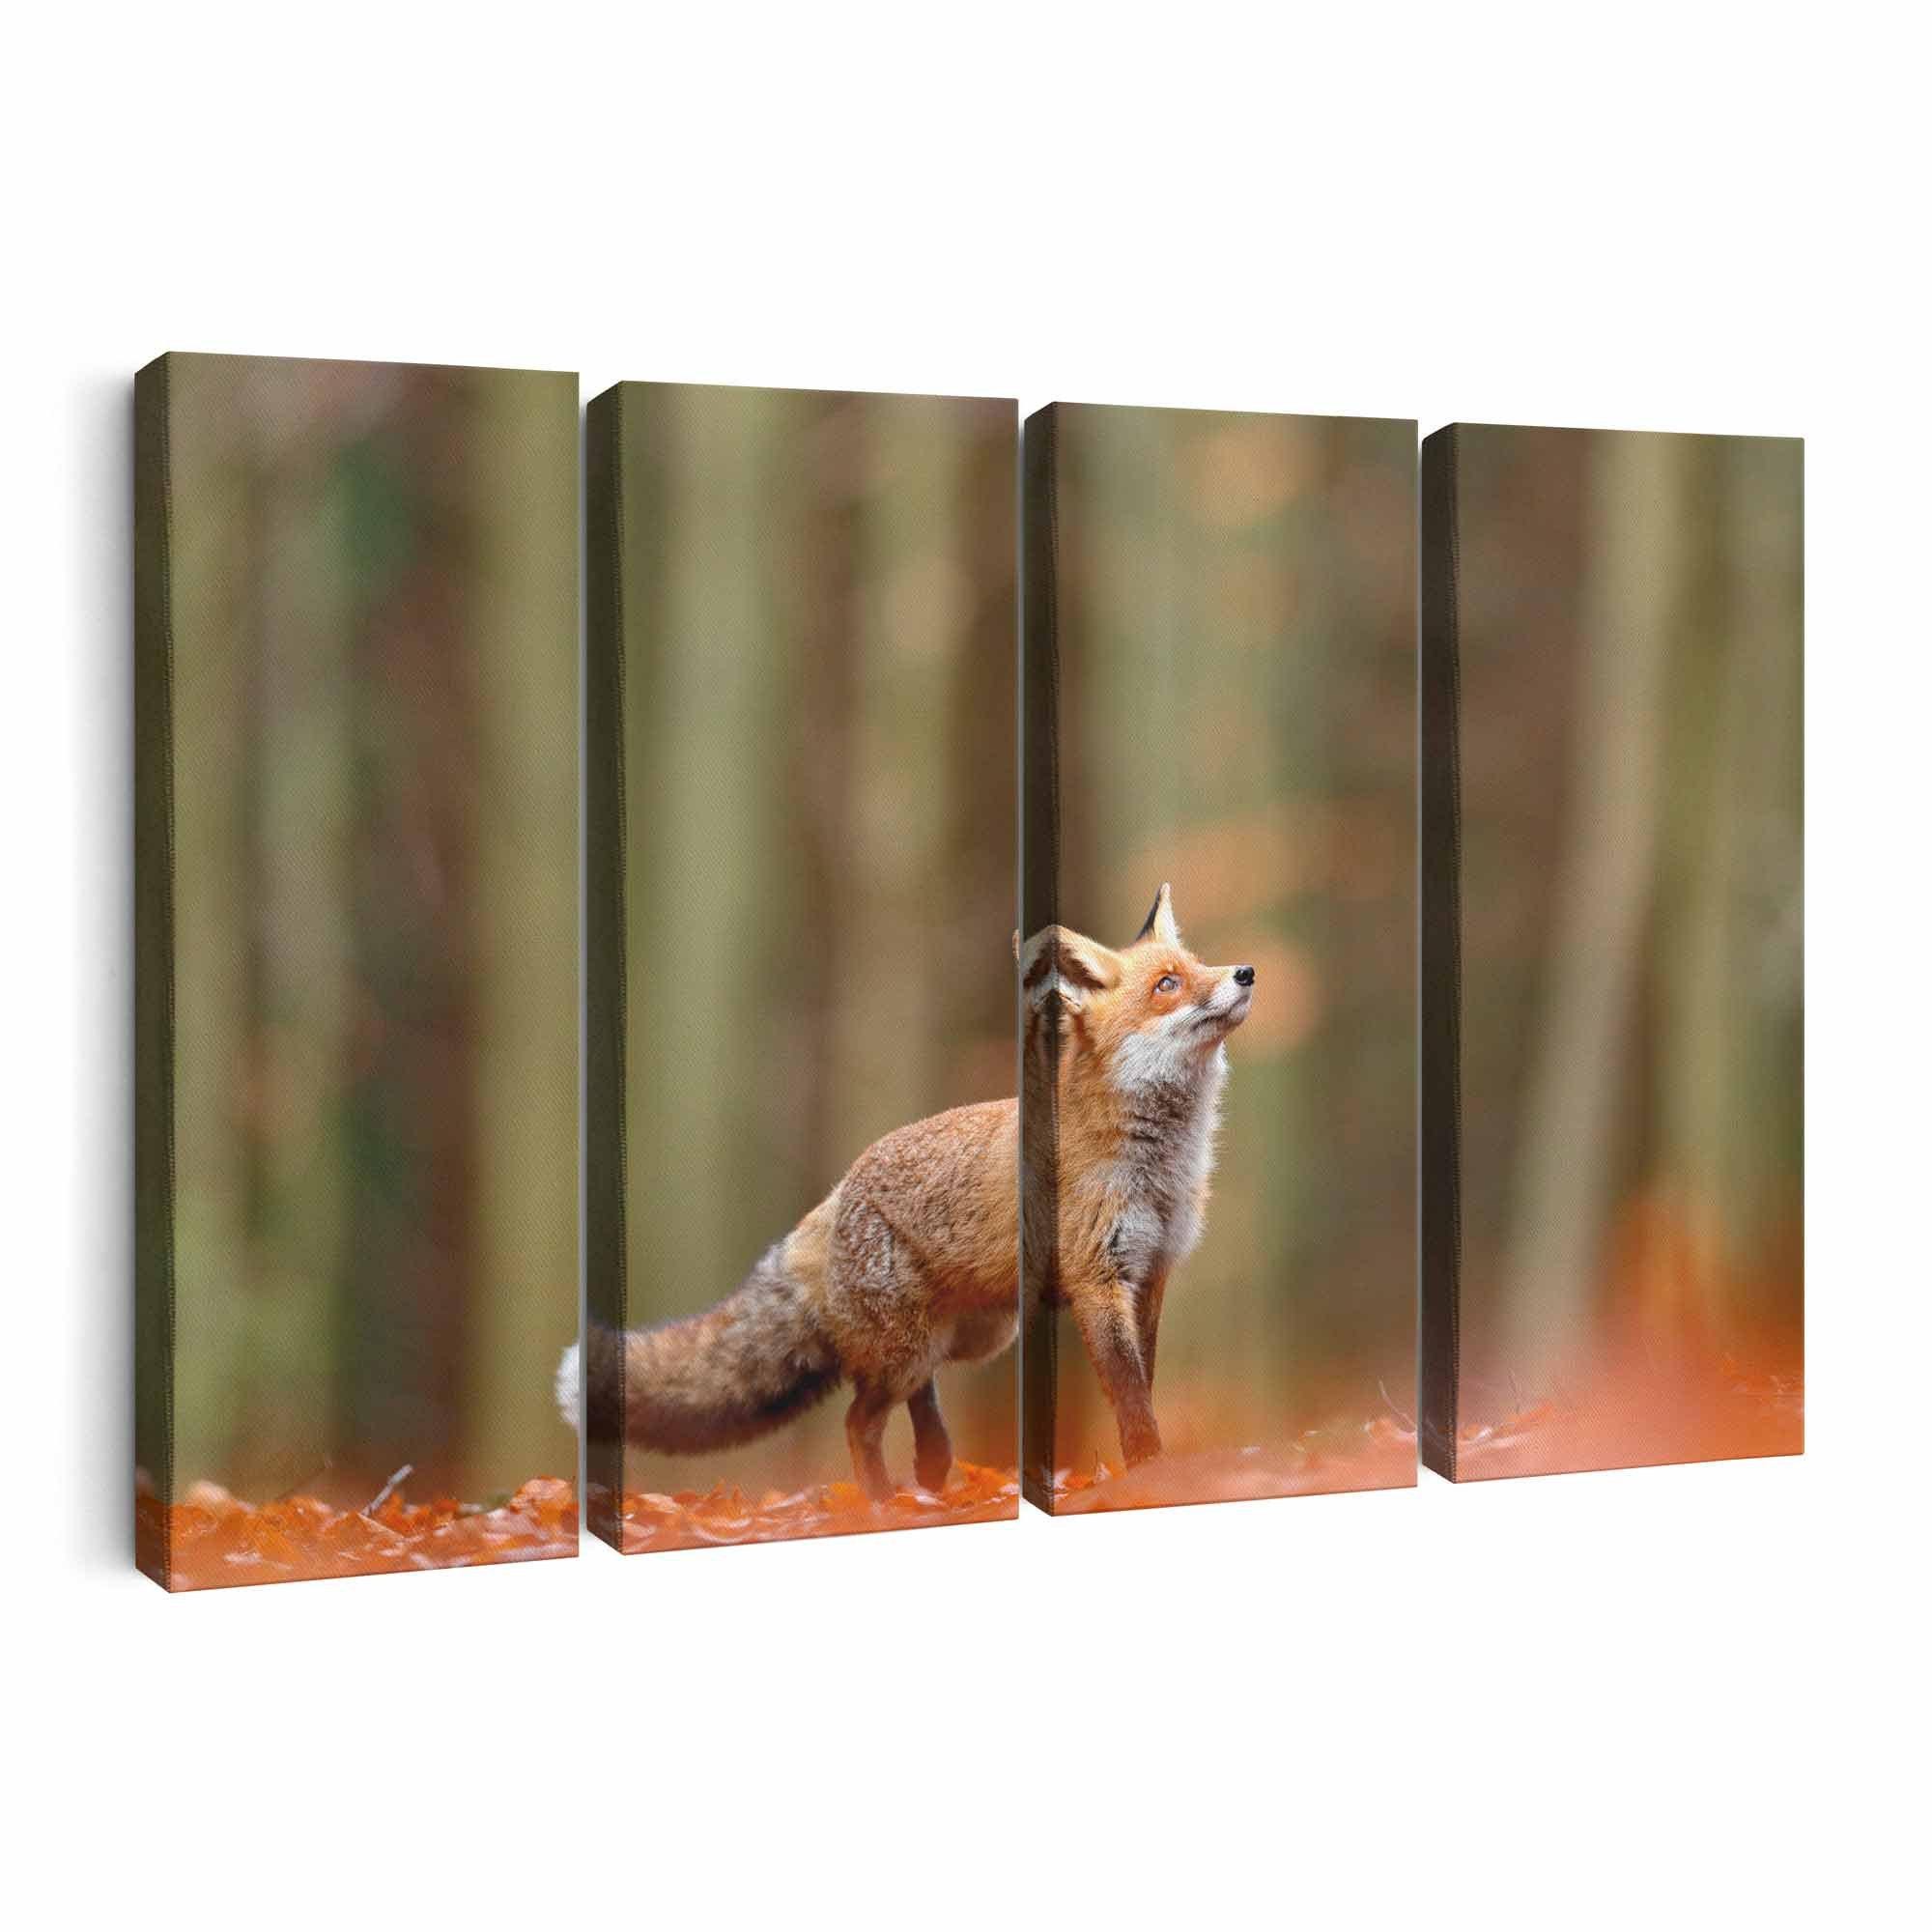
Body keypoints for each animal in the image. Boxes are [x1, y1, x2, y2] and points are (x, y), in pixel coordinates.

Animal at [556, 883, 1253, 1498]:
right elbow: (1132, 1399)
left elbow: (1144, 1386)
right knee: (858, 1420)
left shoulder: (1152, 1274)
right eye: (1167, 984)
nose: (1245, 972)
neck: (1159, 1168)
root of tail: (837, 1192)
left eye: (1197, 966)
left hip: (970, 1336)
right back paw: (883, 1503)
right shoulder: (1097, 1278)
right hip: (912, 1347)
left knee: (918, 1395)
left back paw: (932, 1468)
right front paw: (1153, 1473)